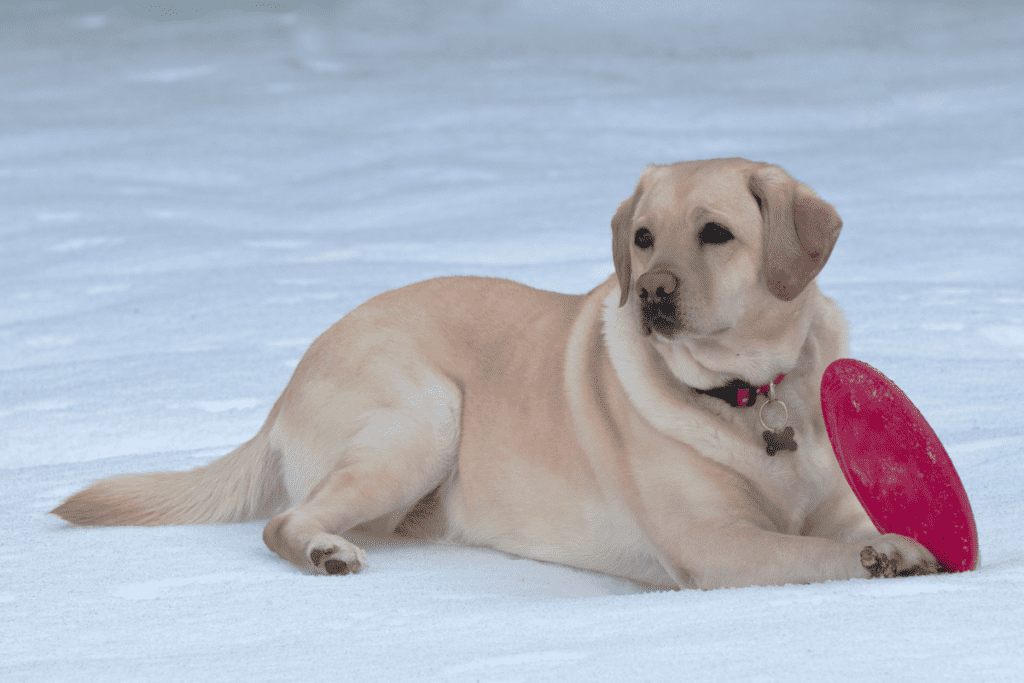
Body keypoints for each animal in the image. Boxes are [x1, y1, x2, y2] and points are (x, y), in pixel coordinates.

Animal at [51, 158, 937, 589]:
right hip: (425, 415)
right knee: (281, 521)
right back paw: (325, 552)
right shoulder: (713, 542)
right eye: (644, 237)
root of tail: (290, 379)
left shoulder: (835, 501)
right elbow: (808, 555)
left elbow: (844, 529)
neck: (753, 394)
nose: (652, 293)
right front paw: (889, 556)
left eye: (716, 233)